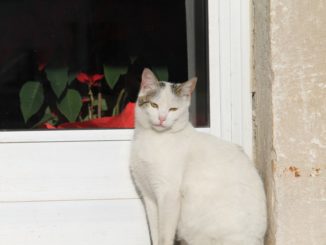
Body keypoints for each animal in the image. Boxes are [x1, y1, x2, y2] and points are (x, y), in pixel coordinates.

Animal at [129, 68, 266, 245]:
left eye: (173, 109)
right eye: (154, 105)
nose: (162, 118)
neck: (152, 139)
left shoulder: (168, 194)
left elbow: (164, 236)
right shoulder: (149, 196)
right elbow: (155, 233)